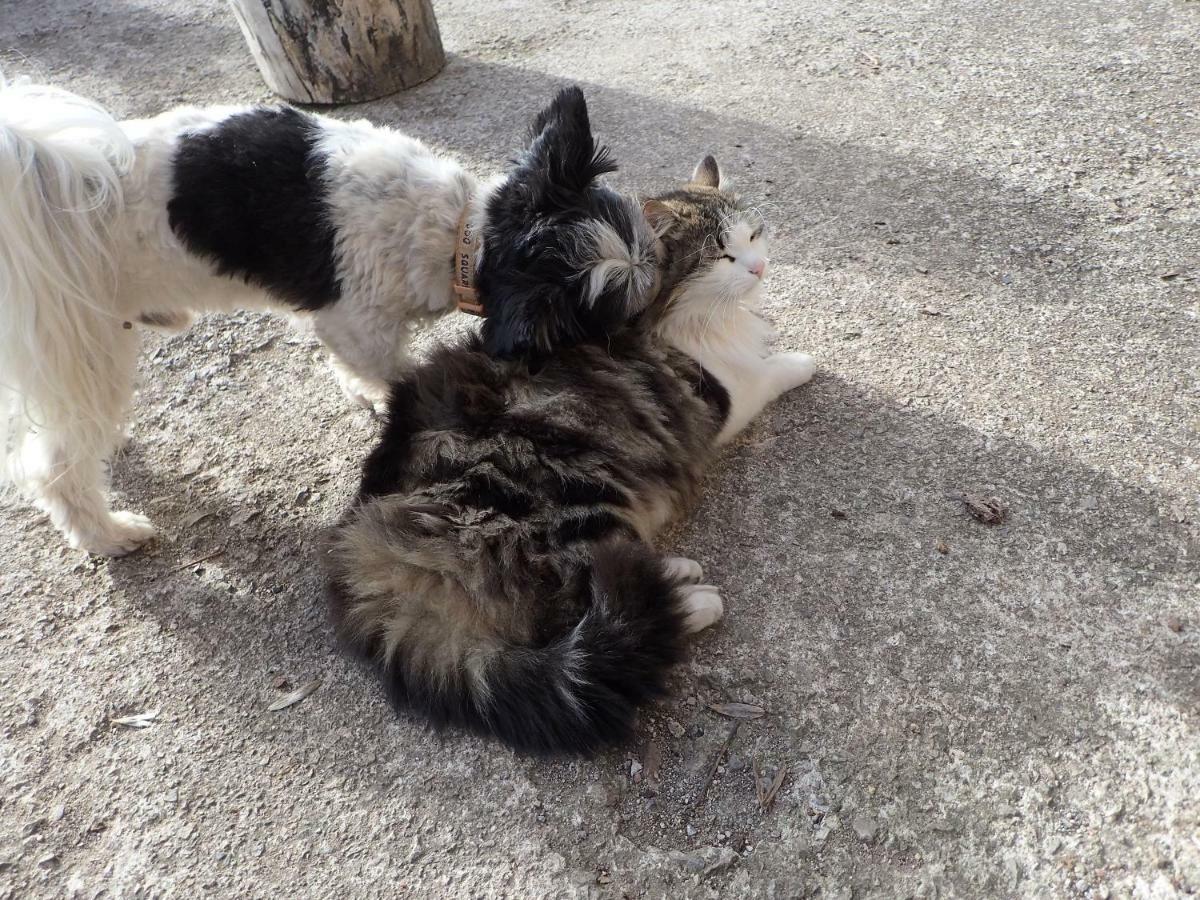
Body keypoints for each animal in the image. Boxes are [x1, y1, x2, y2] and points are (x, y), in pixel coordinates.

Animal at [0, 79, 657, 556]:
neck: (460, 236)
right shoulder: (360, 325)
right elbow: (394, 376)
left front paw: (361, 395)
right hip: (82, 344)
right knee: (52, 464)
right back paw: (108, 534)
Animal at [326, 157, 816, 753]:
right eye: (723, 254)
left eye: (753, 236)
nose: (760, 267)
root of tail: (370, 549)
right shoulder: (727, 393)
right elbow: (773, 372)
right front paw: (805, 361)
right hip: (576, 495)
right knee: (585, 603)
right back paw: (692, 599)